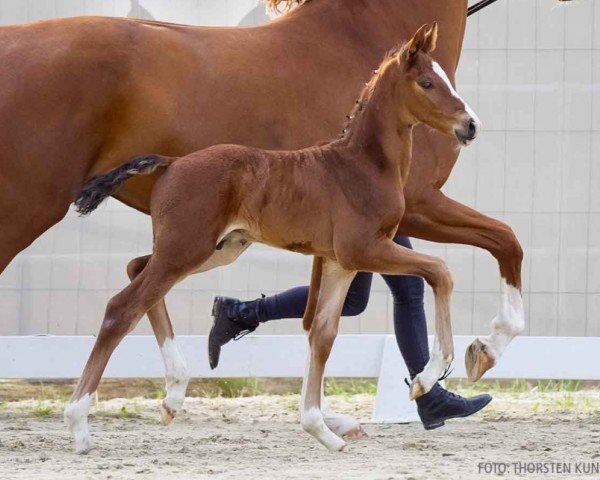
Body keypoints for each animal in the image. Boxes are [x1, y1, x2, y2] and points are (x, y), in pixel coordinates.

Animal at [67, 24, 478, 452]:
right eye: (427, 82)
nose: (470, 125)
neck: (362, 166)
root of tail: (172, 163)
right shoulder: (365, 249)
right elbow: (440, 271)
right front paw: (426, 378)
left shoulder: (341, 262)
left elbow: (323, 334)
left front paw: (322, 431)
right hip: (185, 250)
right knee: (122, 307)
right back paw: (79, 424)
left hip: (212, 250)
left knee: (136, 271)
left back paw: (174, 394)